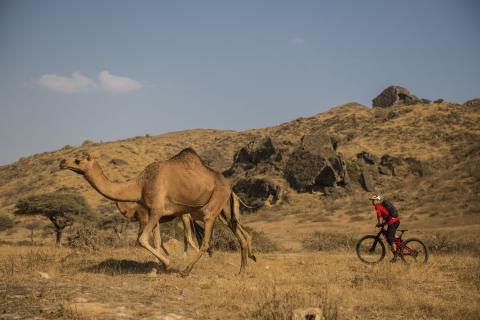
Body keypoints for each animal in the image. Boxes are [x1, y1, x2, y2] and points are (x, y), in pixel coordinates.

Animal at [60, 148, 256, 276]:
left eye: (78, 160)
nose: (62, 162)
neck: (140, 184)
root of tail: (229, 187)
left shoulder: (155, 210)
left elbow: (142, 239)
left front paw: (168, 264)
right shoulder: (151, 212)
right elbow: (156, 241)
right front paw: (156, 268)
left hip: (212, 207)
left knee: (206, 241)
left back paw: (186, 271)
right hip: (225, 211)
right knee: (240, 234)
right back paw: (242, 271)